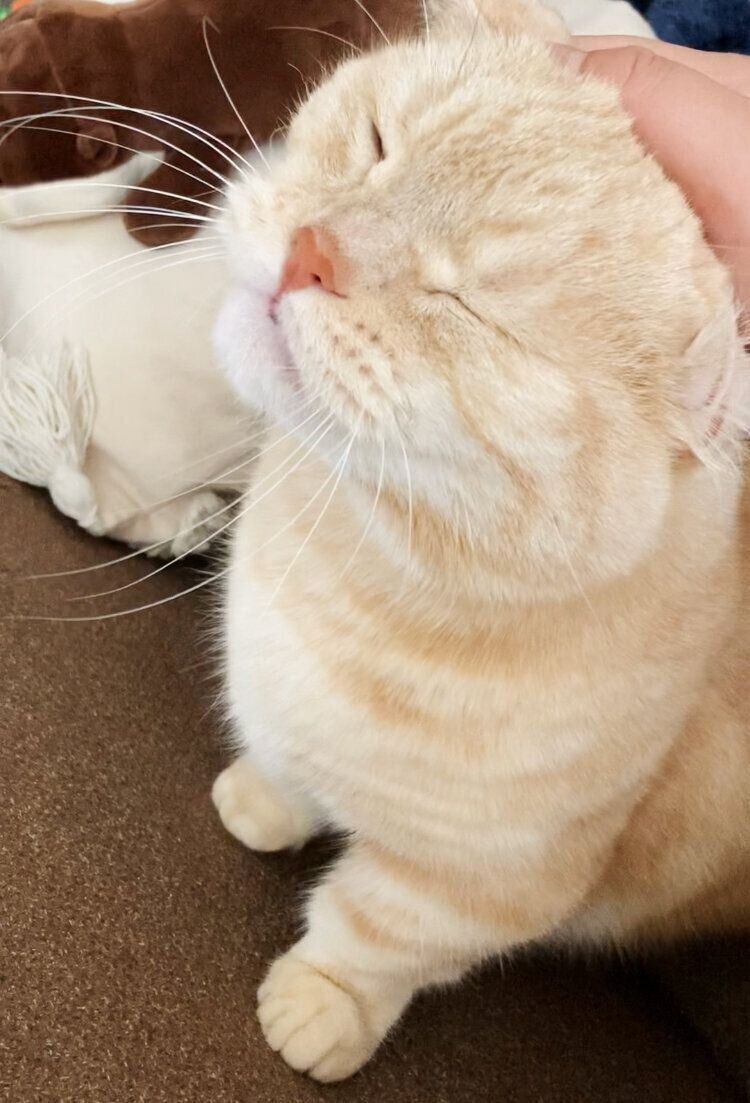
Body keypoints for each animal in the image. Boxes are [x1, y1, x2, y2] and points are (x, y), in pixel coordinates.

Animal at [211, 0, 750, 1082]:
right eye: (379, 142)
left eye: (473, 310)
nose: (311, 251)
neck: (346, 566)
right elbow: (285, 760)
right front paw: (265, 797)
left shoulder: (481, 884)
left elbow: (372, 935)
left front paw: (322, 1005)